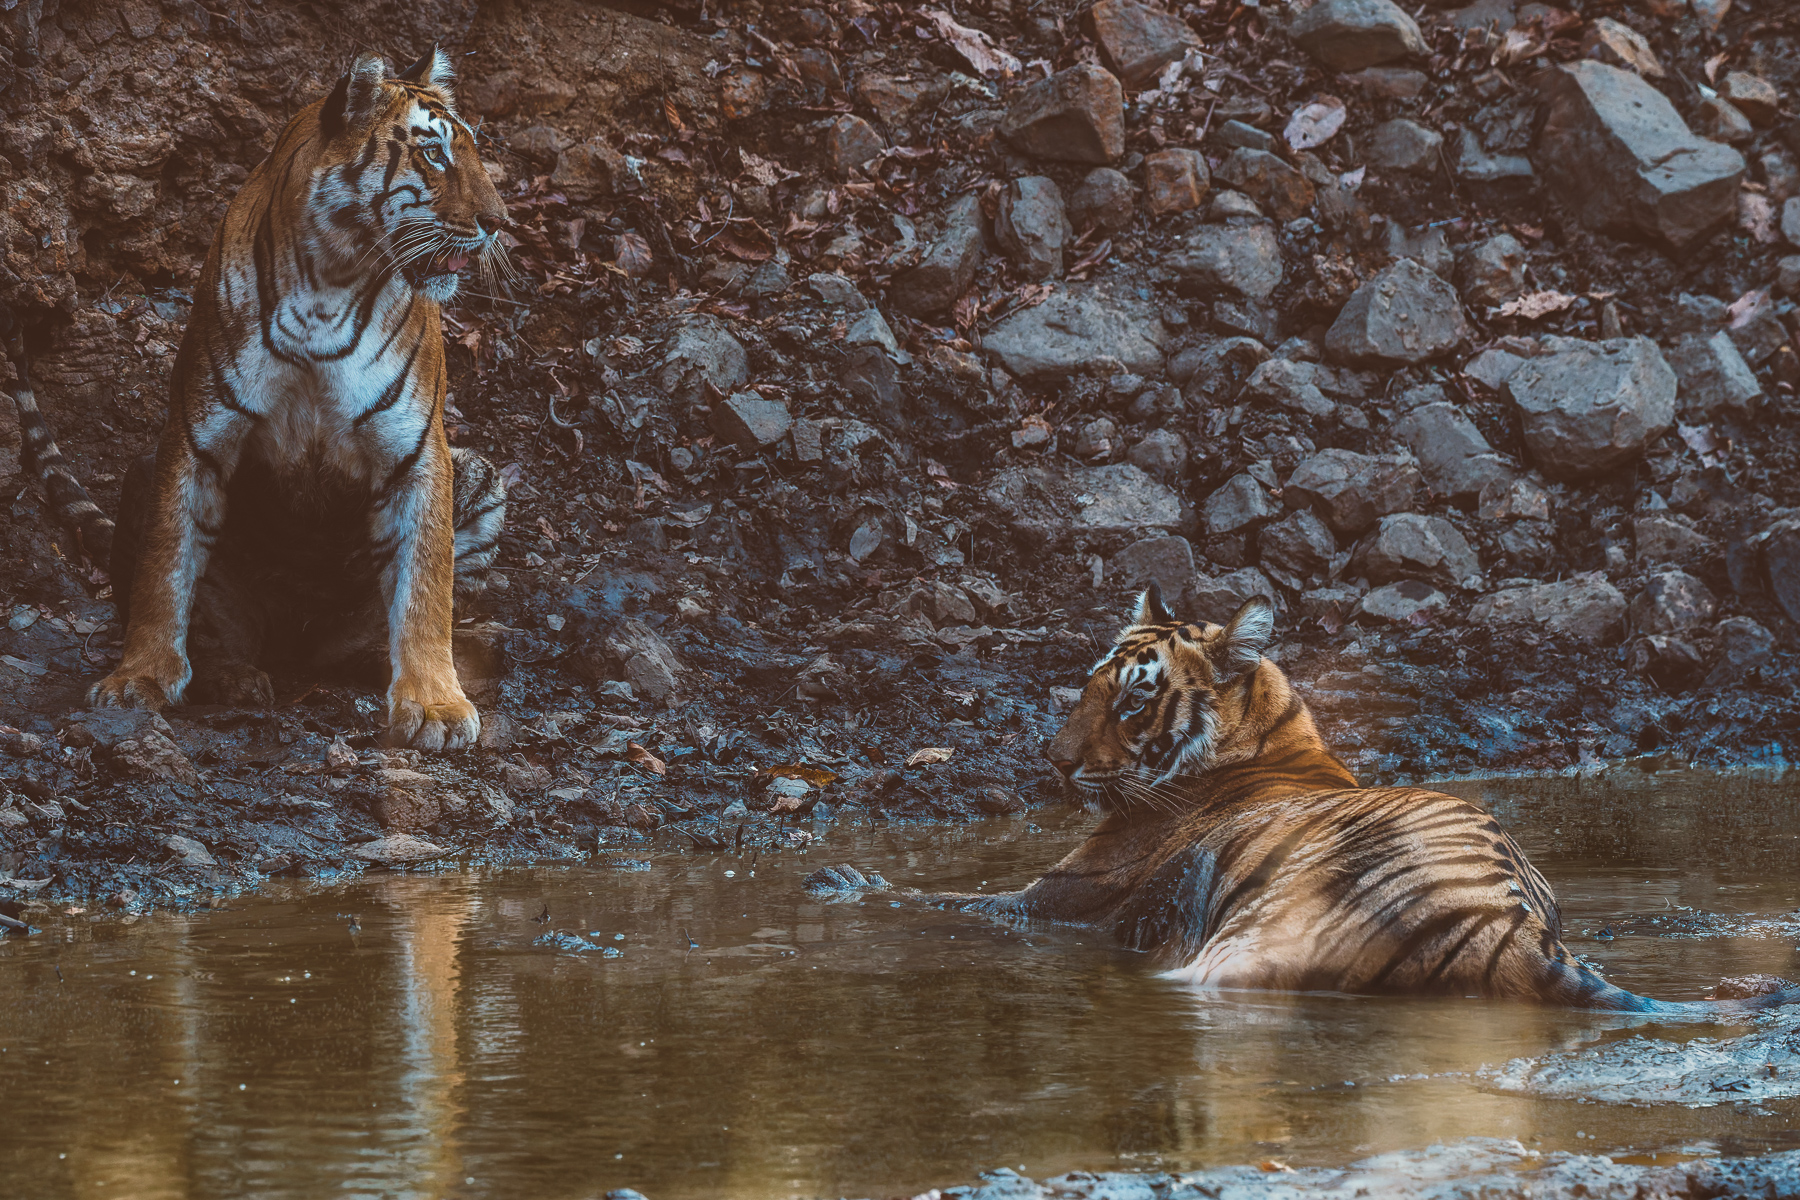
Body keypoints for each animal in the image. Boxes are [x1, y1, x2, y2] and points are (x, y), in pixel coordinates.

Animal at [3, 48, 507, 750]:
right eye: (433, 154)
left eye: (475, 152)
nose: (499, 224)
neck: (333, 279)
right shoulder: (197, 435)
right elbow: (165, 569)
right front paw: (138, 678)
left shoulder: (416, 450)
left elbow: (428, 586)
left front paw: (436, 704)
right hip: (142, 474)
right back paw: (232, 678)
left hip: (480, 476)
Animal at [810, 584, 1799, 1014]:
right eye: (1086, 686)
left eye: (1130, 700)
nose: (1052, 764)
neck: (1275, 739)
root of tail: (1514, 930)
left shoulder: (1058, 898)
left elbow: (939, 902)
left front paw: (838, 881)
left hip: (1234, 949)